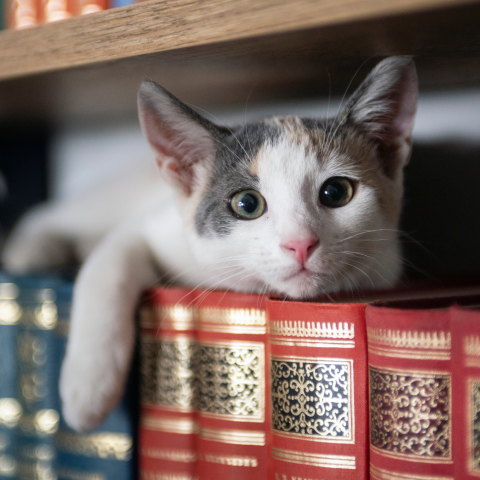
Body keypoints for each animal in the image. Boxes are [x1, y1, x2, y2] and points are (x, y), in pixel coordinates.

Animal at [1, 56, 418, 432]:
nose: (300, 243)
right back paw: (32, 250)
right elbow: (108, 266)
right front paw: (87, 388)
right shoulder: (153, 227)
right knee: (48, 215)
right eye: (247, 203)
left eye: (336, 192)